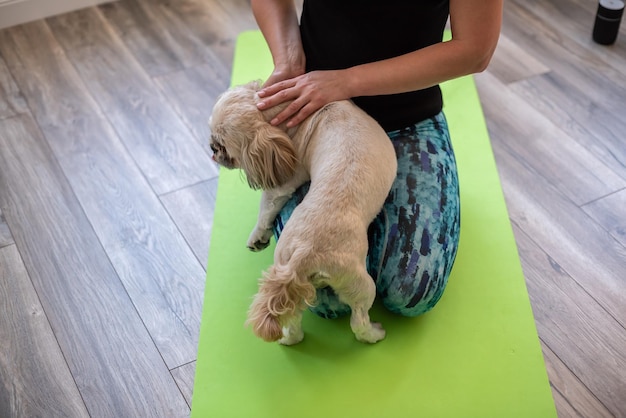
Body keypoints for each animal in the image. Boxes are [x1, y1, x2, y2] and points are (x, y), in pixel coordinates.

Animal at [208, 80, 394, 344]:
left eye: (222, 144)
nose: (212, 148)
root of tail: (303, 255)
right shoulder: (284, 182)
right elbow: (266, 207)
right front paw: (257, 234)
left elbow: (266, 209)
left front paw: (258, 237)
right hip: (361, 284)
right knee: (358, 321)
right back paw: (374, 334)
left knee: (293, 318)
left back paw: (289, 338)